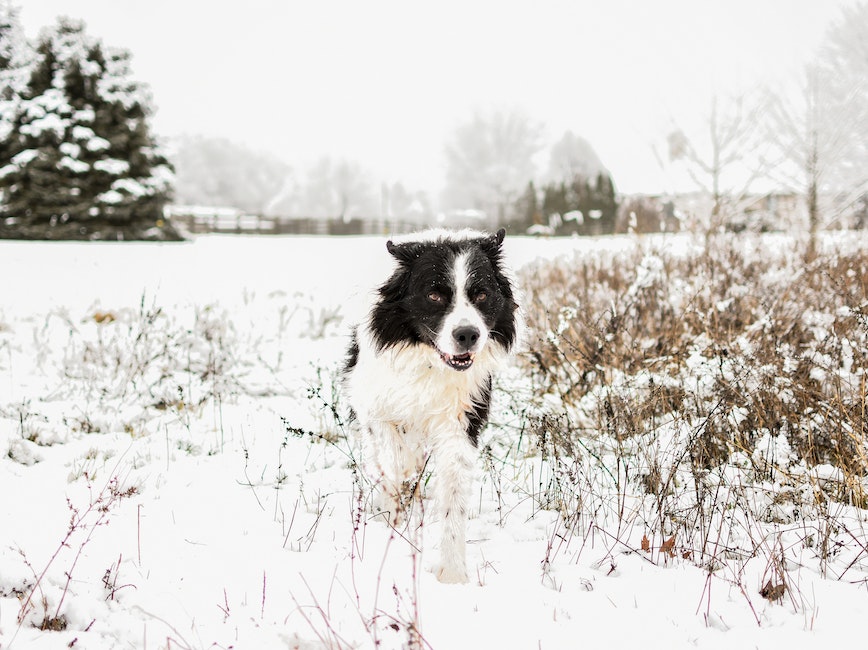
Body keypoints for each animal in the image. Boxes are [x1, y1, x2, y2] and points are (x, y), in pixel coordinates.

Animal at [340, 228, 520, 584]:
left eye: (481, 295)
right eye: (435, 296)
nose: (467, 335)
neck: (430, 363)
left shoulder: (460, 423)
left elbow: (453, 495)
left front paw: (452, 572)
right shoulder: (375, 408)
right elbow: (395, 460)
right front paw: (392, 516)